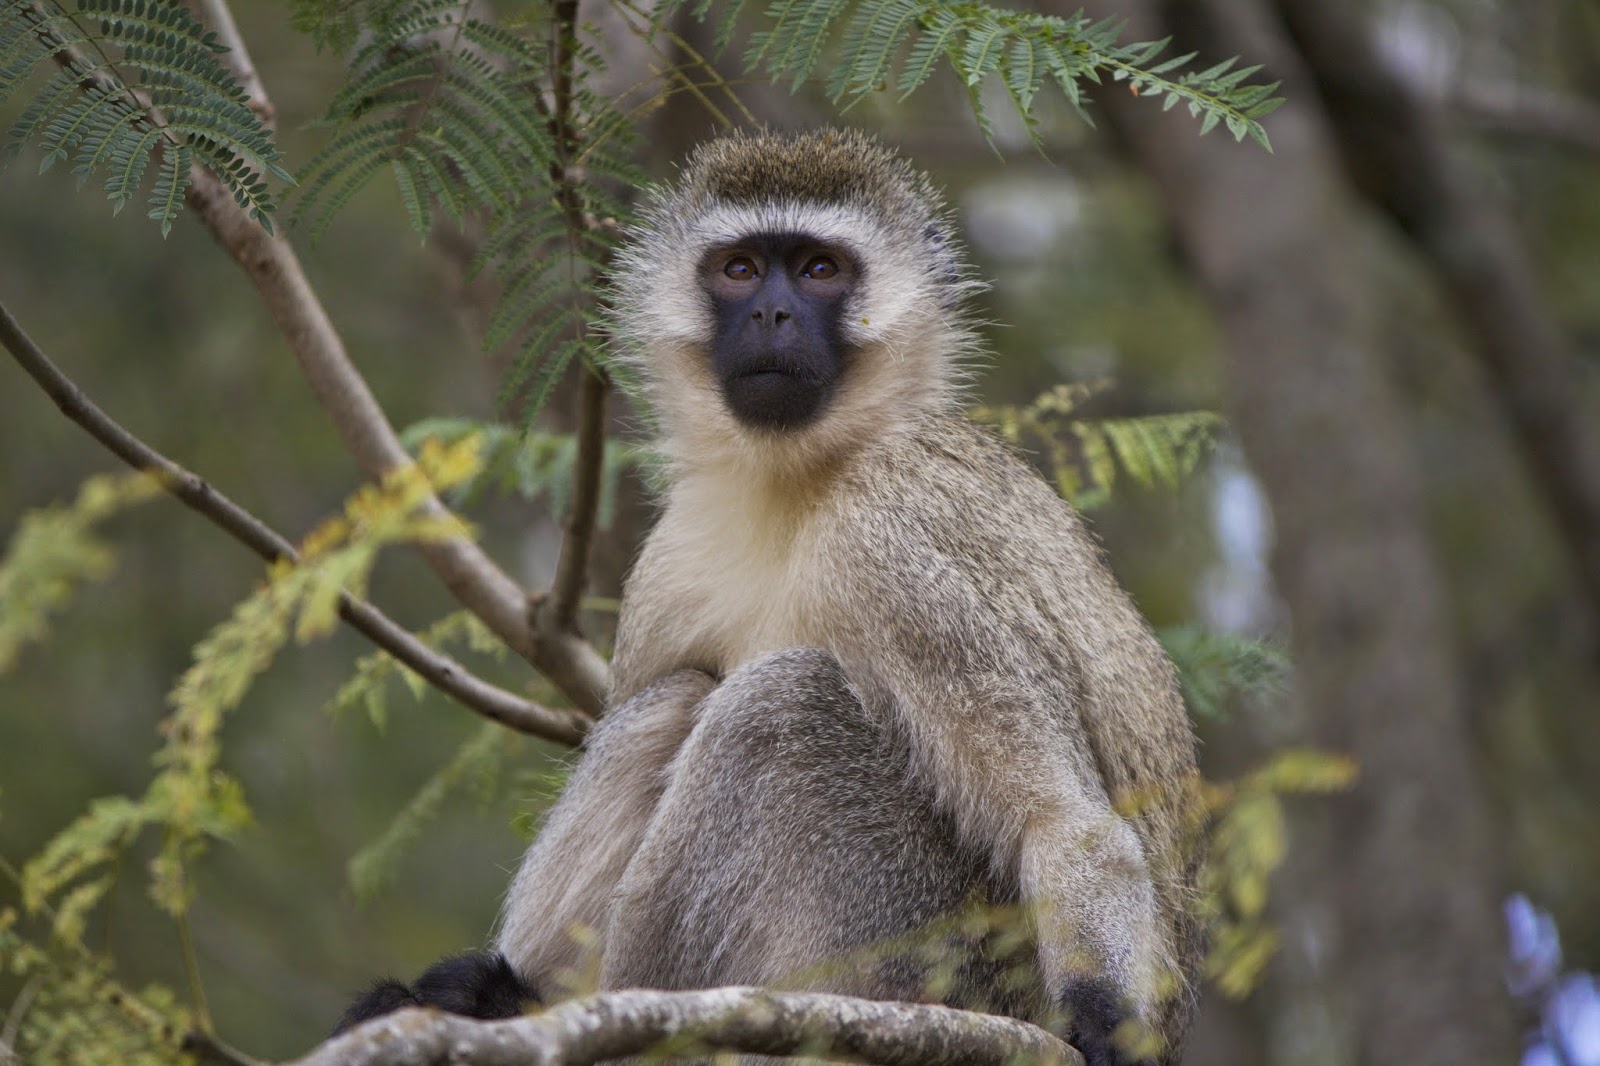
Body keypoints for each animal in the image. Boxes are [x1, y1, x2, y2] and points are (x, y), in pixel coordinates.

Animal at [337, 128, 1204, 1066]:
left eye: (821, 270)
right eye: (741, 269)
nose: (772, 316)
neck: (802, 482)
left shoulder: (896, 537)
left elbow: (1065, 826)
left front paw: (1104, 1019)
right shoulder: (670, 559)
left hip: (930, 954)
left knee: (782, 701)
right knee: (674, 698)